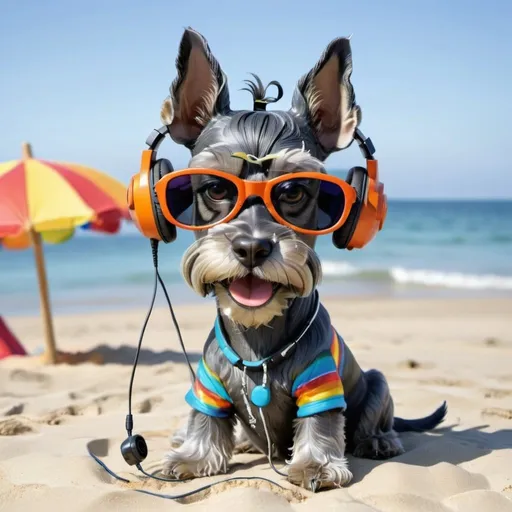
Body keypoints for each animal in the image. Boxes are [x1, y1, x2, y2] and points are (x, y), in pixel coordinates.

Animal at [157, 26, 448, 490]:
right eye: (216, 188)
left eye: (293, 191)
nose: (252, 248)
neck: (260, 342)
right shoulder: (208, 386)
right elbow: (205, 421)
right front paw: (191, 456)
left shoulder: (321, 385)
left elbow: (322, 425)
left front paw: (315, 465)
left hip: (377, 383)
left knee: (374, 419)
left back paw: (380, 441)